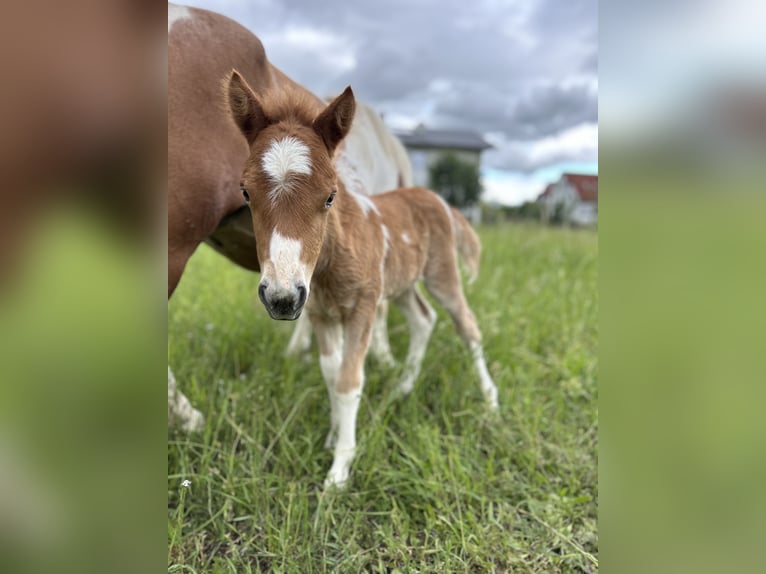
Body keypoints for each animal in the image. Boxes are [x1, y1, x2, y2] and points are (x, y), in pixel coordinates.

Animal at [225, 70, 500, 488]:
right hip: (401, 284)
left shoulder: (363, 309)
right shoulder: (320, 313)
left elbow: (349, 380)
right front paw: (333, 436)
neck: (330, 265)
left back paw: (489, 398)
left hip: (441, 275)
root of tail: (438, 199)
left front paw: (339, 471)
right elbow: (330, 373)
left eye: (329, 196)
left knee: (465, 324)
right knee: (424, 319)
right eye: (245, 193)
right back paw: (403, 386)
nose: (281, 298)